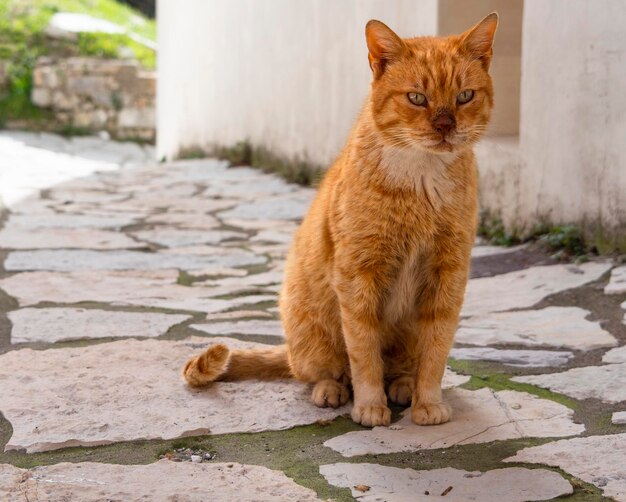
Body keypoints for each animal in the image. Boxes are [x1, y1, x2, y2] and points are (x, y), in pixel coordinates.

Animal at [183, 13, 494, 426]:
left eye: (464, 97)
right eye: (417, 98)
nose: (445, 125)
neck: (421, 183)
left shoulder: (449, 273)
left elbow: (435, 351)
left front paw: (426, 402)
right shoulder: (357, 274)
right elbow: (363, 352)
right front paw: (370, 406)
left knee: (402, 366)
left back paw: (403, 385)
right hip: (312, 335)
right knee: (320, 372)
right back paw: (332, 390)